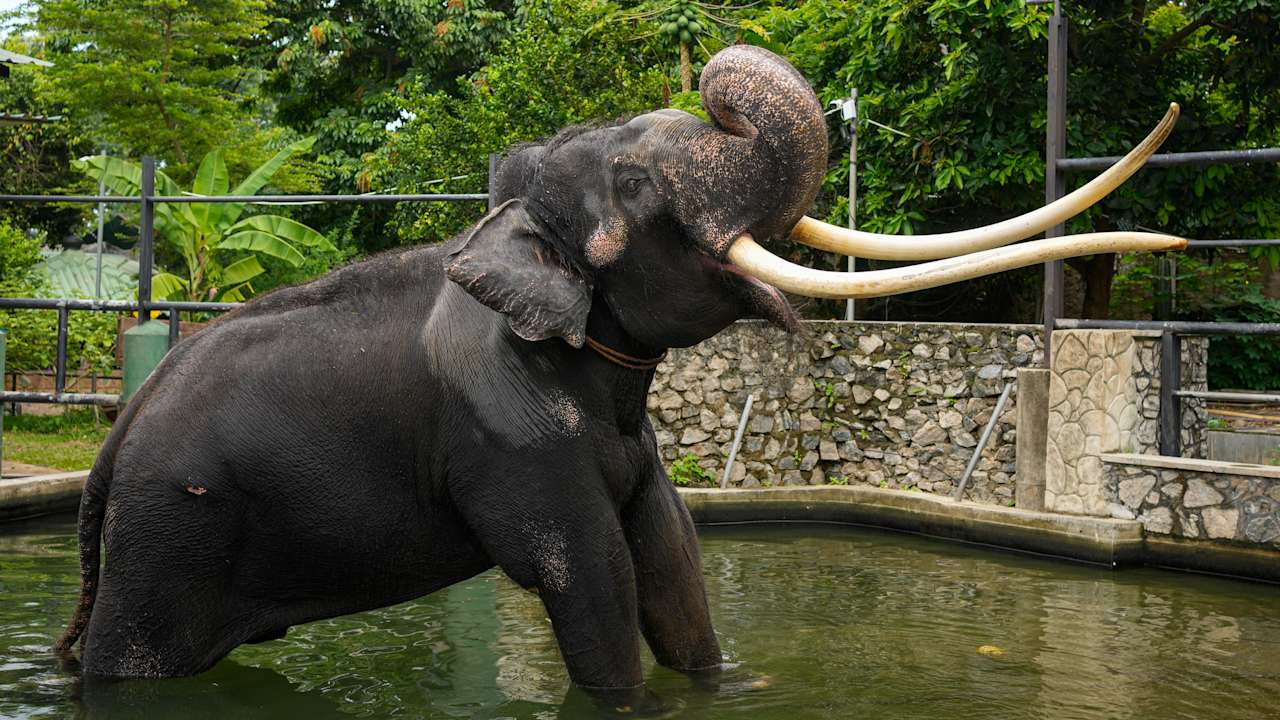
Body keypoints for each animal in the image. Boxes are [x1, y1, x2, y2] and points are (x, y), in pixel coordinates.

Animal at [55, 43, 1183, 697]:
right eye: (638, 183)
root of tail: (111, 446)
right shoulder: (508, 438)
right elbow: (592, 576)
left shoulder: (630, 445)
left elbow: (673, 561)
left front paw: (725, 687)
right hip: (169, 534)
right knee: (135, 660)